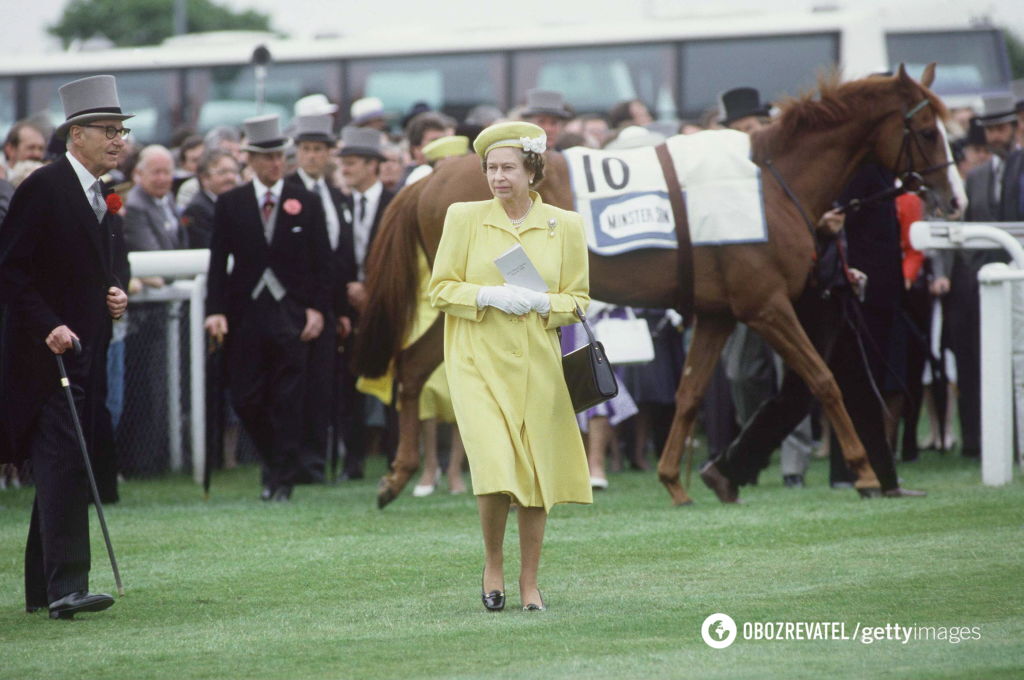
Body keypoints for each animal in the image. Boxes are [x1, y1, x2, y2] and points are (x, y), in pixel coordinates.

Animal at [356, 66, 962, 507]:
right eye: (925, 130)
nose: (954, 199)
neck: (768, 180)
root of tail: (427, 178)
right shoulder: (765, 305)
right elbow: (823, 379)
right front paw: (864, 473)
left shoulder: (718, 312)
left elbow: (690, 392)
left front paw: (678, 479)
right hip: (462, 297)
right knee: (416, 369)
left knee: (412, 369)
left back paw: (397, 477)